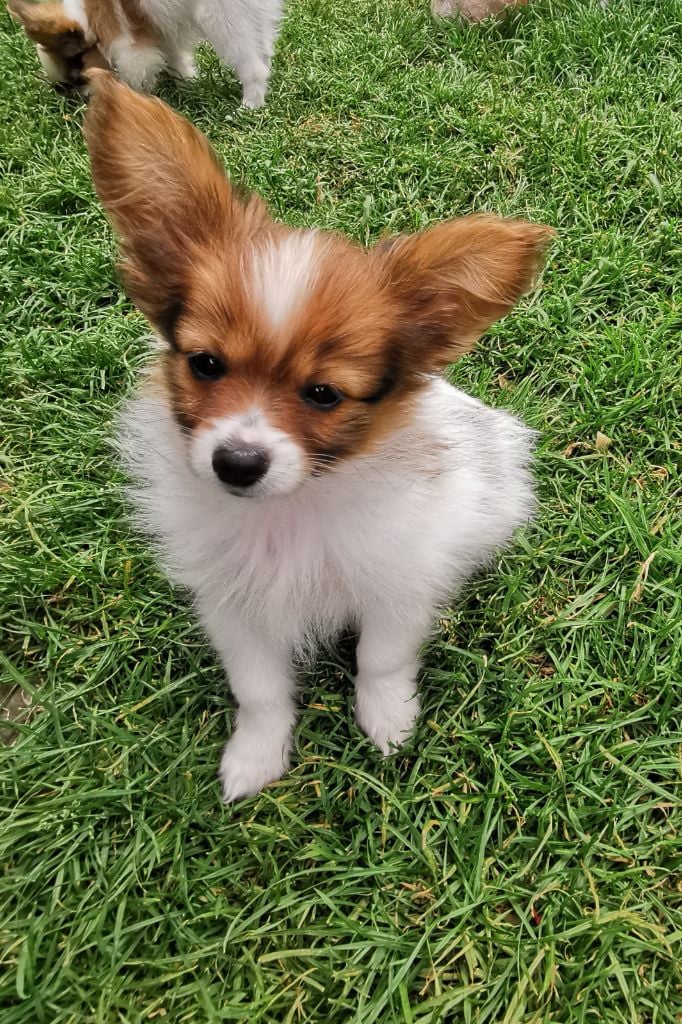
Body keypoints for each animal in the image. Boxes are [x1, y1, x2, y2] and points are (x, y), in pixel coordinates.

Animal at [7, 0, 281, 106]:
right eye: (63, 88)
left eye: (81, 80)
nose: (85, 100)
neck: (86, 17)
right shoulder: (158, 32)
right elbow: (175, 58)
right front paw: (188, 83)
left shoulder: (129, 47)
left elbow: (135, 75)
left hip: (222, 18)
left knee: (253, 66)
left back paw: (249, 106)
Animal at [82, 72, 552, 802]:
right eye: (206, 364)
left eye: (324, 394)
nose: (238, 463)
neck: (289, 511)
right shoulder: (234, 609)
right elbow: (259, 691)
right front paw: (256, 756)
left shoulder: (397, 582)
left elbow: (381, 659)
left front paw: (389, 723)